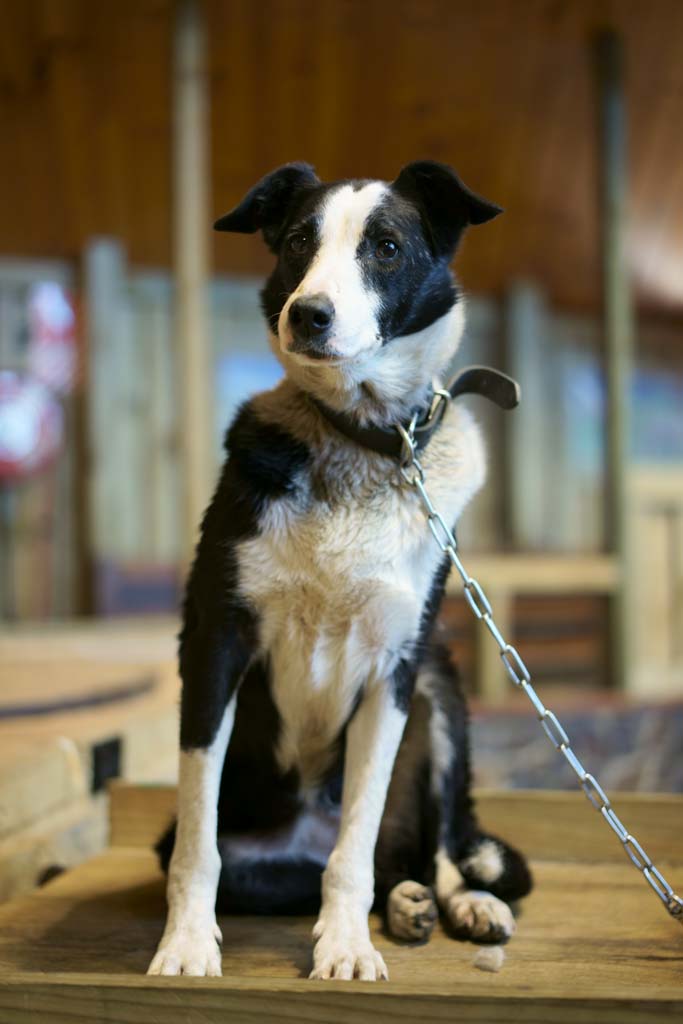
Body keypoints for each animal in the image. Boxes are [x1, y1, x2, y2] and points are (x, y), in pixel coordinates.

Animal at [148, 161, 532, 983]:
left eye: (385, 247)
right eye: (297, 241)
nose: (309, 316)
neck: (363, 440)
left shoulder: (395, 670)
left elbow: (353, 845)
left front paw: (347, 944)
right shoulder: (215, 646)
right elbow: (198, 839)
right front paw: (187, 943)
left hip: (438, 694)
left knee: (425, 849)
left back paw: (454, 902)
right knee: (350, 868)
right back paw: (405, 902)